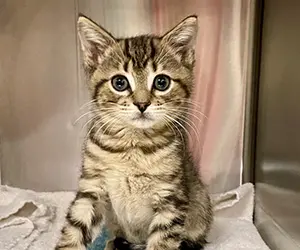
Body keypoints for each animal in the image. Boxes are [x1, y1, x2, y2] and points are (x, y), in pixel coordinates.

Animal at [55, 15, 212, 250]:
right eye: (119, 82)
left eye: (162, 82)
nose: (142, 104)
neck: (133, 145)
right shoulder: (92, 187)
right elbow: (75, 225)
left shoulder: (170, 197)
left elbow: (162, 241)